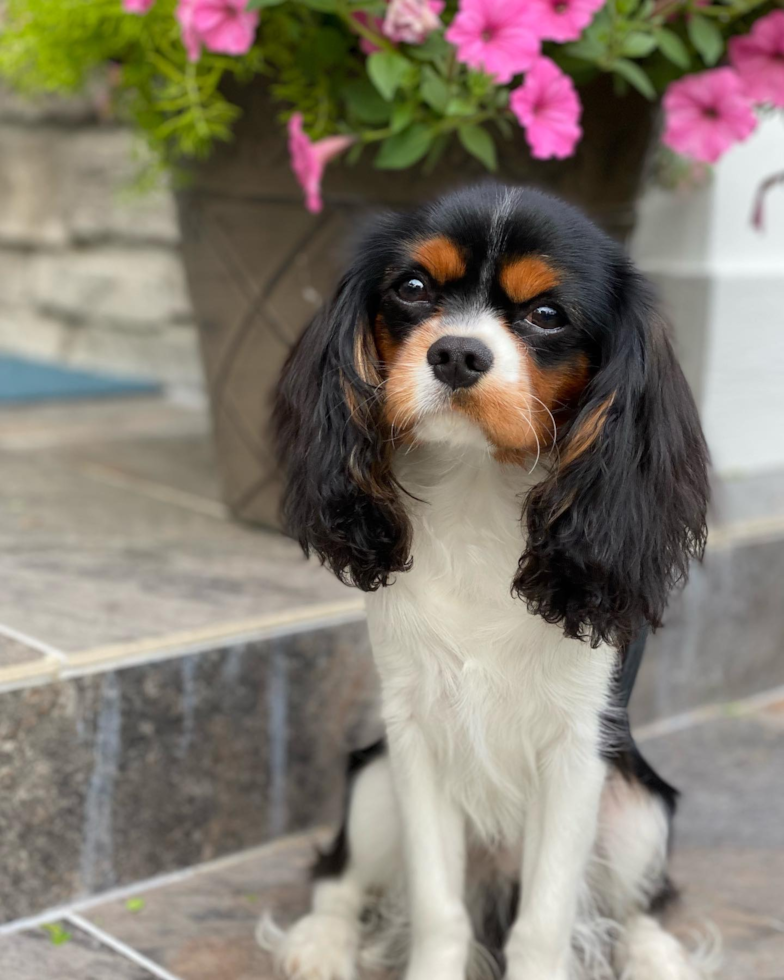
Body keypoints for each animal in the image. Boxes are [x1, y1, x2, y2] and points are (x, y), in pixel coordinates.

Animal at [262, 184, 712, 980]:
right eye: (413, 289)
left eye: (547, 314)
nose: (457, 352)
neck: (478, 485)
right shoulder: (413, 735)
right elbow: (439, 909)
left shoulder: (577, 752)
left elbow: (544, 922)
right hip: (374, 782)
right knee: (339, 876)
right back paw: (319, 945)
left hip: (637, 806)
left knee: (642, 905)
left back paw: (657, 958)